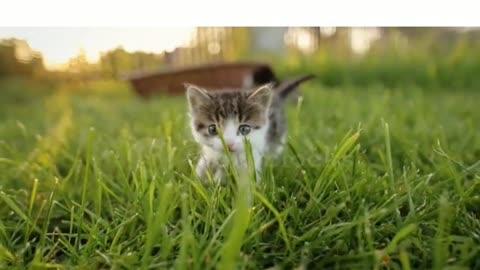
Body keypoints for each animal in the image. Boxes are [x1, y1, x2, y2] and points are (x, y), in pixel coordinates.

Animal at [185, 74, 316, 186]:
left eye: (244, 129)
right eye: (213, 129)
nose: (229, 144)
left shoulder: (253, 154)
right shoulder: (209, 153)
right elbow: (204, 165)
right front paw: (198, 181)